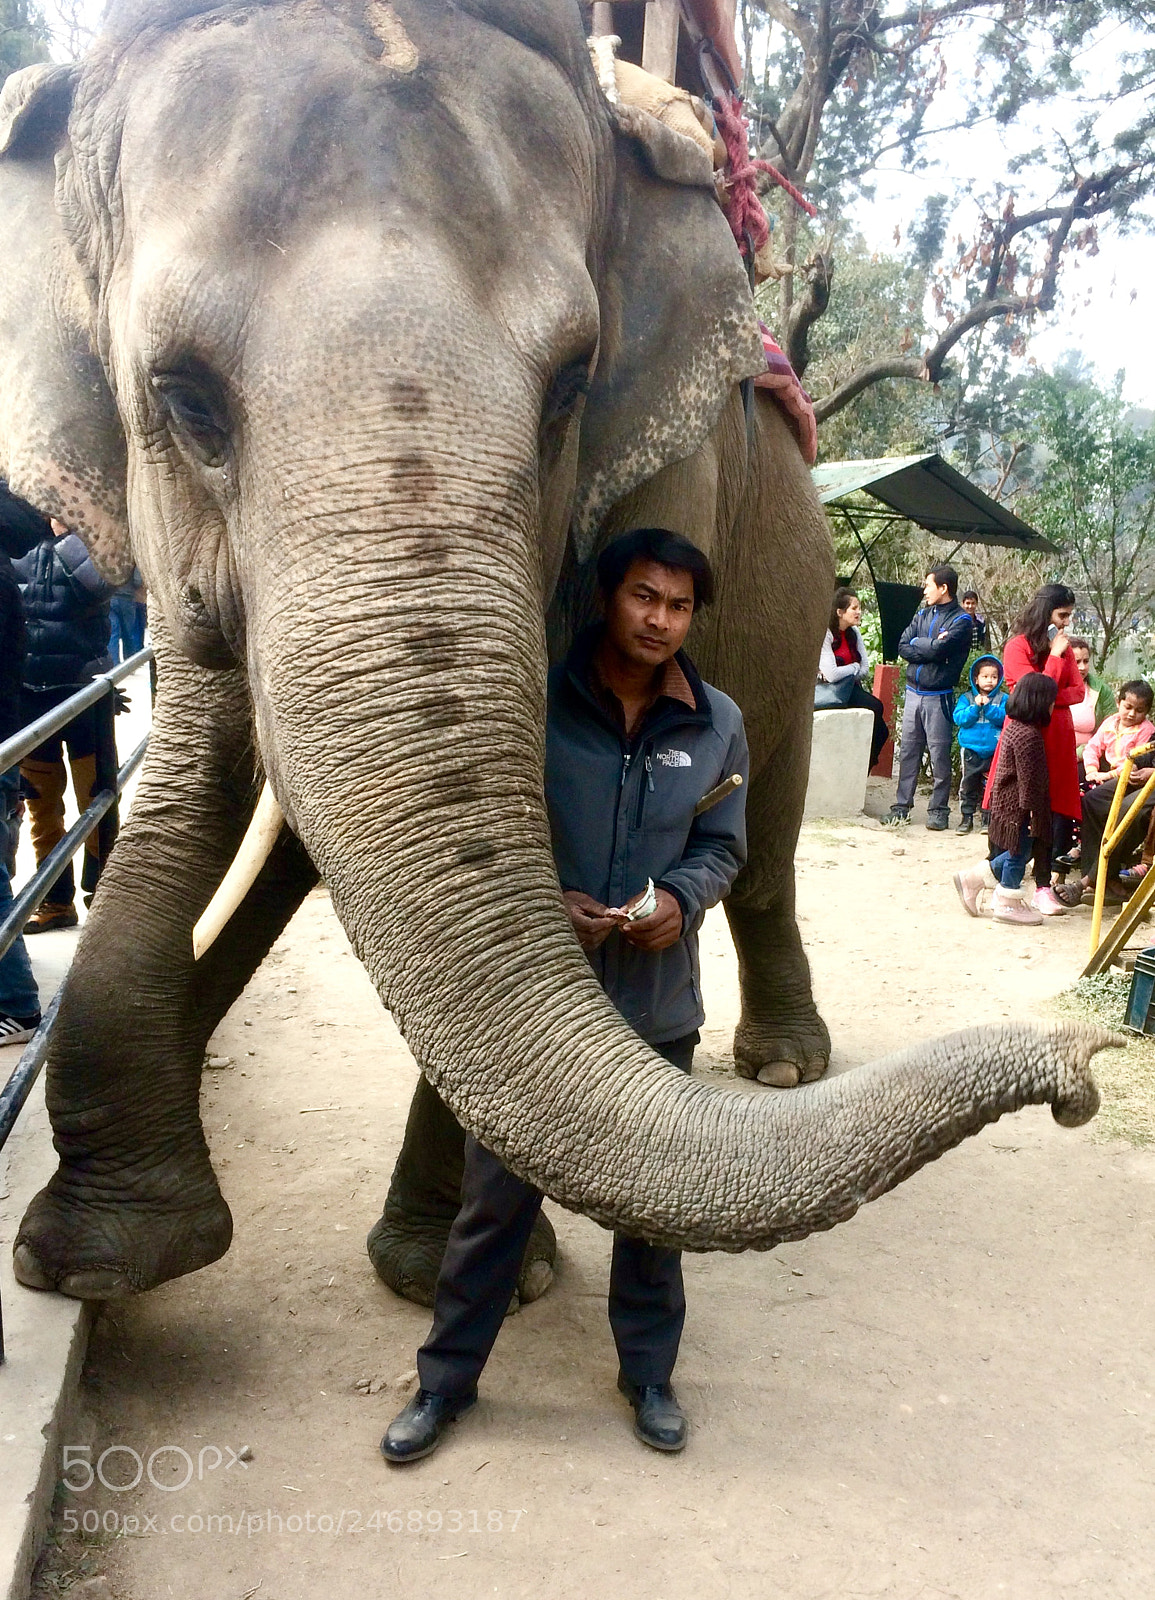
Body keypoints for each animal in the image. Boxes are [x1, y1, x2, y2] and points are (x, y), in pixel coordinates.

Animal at [0, 0, 1112, 1314]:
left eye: (570, 388)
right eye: (181, 400)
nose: (1086, 1073)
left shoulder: (666, 466)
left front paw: (449, 1273)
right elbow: (206, 762)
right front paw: (94, 1258)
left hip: (796, 611)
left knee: (768, 834)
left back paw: (784, 1067)